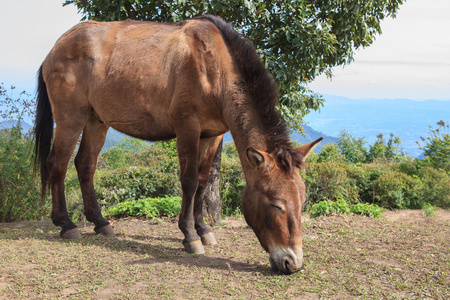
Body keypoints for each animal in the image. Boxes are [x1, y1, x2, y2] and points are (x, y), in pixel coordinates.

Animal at [35, 15, 322, 274]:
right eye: (275, 204)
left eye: (302, 202)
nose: (292, 263)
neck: (212, 67)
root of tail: (54, 50)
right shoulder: (187, 128)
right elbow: (189, 182)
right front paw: (190, 236)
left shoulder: (212, 135)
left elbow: (203, 183)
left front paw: (203, 230)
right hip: (71, 119)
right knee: (57, 164)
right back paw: (66, 224)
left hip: (96, 121)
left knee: (85, 165)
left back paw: (100, 222)